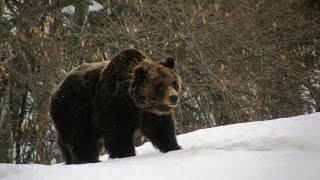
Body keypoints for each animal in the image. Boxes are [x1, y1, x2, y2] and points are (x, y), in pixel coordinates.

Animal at [48, 48, 181, 164]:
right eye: (160, 85)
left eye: (173, 82)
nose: (173, 97)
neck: (134, 103)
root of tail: (58, 87)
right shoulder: (114, 107)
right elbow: (118, 135)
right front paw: (125, 154)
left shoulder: (151, 114)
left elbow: (162, 129)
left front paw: (173, 147)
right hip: (74, 111)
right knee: (80, 138)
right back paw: (86, 160)